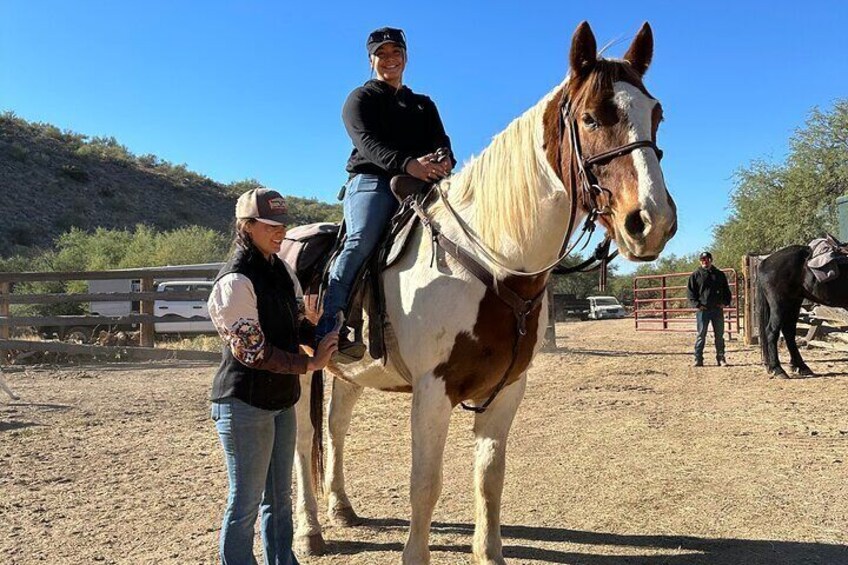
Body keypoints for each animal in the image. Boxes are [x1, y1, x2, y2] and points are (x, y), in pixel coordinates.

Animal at [292, 22, 676, 564]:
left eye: (656, 114)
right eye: (590, 117)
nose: (652, 221)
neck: (492, 264)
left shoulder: (508, 388)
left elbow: (490, 475)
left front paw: (488, 550)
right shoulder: (432, 391)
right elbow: (425, 485)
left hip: (349, 371)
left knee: (335, 427)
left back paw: (342, 508)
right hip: (303, 373)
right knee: (304, 440)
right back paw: (309, 532)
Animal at [760, 245, 848, 376]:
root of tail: (766, 261)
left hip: (794, 302)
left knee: (789, 332)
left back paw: (801, 366)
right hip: (779, 304)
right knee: (772, 331)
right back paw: (778, 369)